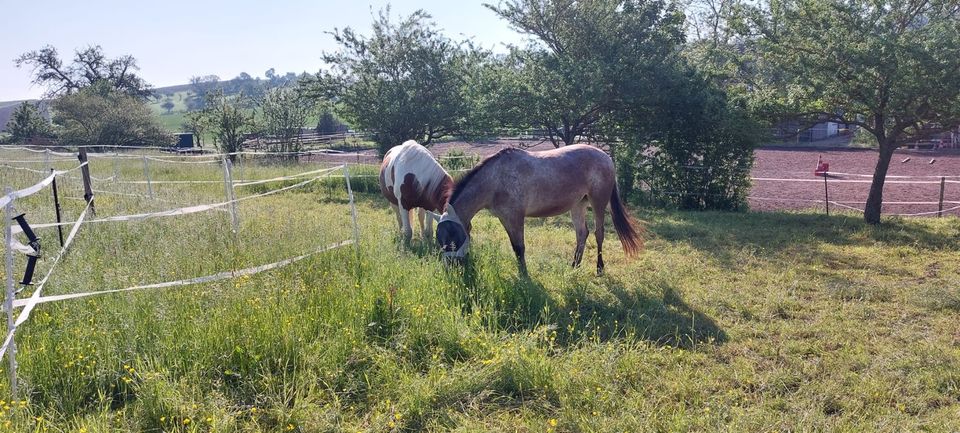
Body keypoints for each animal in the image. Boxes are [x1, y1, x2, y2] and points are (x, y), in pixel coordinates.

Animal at [438, 144, 640, 274]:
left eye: (452, 239)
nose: (450, 268)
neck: (495, 180)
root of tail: (606, 157)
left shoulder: (515, 217)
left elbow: (520, 248)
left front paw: (525, 276)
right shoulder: (505, 218)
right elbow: (515, 247)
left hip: (598, 202)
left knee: (599, 234)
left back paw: (599, 268)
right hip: (578, 204)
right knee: (582, 233)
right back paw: (574, 266)